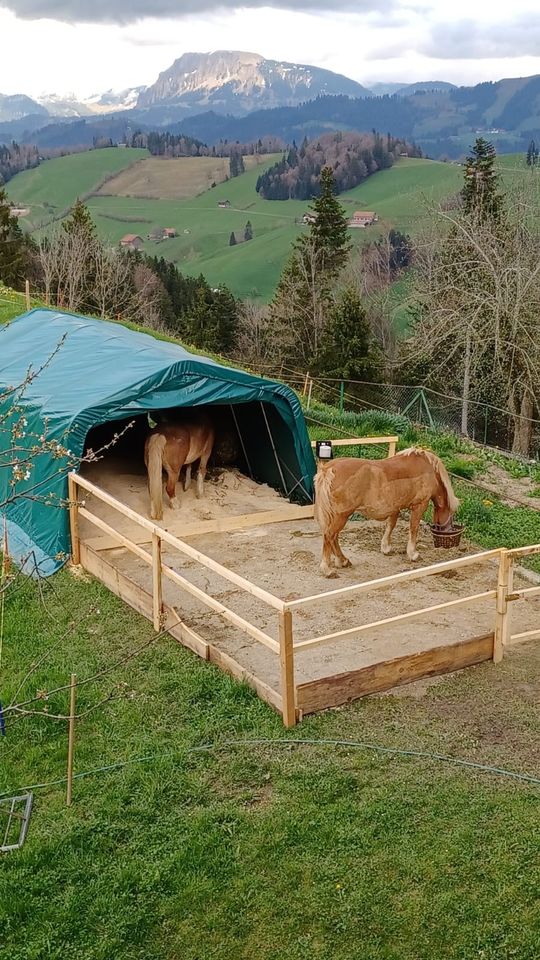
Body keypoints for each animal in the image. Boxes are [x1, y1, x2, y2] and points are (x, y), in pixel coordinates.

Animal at [312, 450, 460, 576]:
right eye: (451, 515)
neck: (428, 469)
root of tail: (327, 470)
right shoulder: (419, 506)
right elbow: (413, 528)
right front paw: (413, 554)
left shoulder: (395, 508)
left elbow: (390, 525)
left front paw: (386, 548)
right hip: (341, 516)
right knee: (330, 536)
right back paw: (327, 569)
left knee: (333, 537)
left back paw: (343, 560)